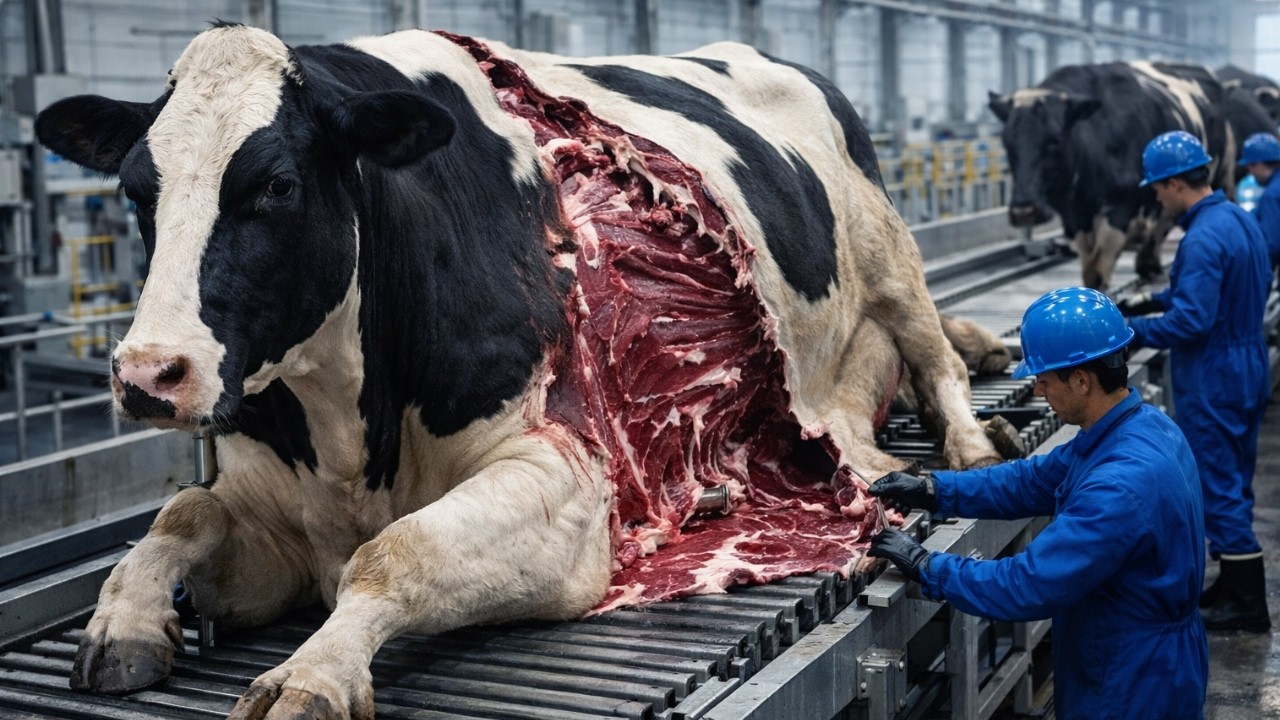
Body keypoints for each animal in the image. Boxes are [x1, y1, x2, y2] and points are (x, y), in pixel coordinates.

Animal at [36, 24, 1005, 719]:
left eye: (276, 184)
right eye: (135, 190)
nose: (149, 373)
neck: (349, 437)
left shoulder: (570, 496)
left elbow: (394, 554)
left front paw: (308, 676)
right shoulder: (272, 514)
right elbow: (185, 512)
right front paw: (125, 618)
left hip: (888, 245)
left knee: (935, 353)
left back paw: (974, 439)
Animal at [989, 61, 1233, 290]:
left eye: (1054, 140)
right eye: (1006, 142)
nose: (1024, 212)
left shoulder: (1120, 209)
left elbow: (1099, 268)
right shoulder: (1075, 219)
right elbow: (1089, 269)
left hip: (1222, 173)